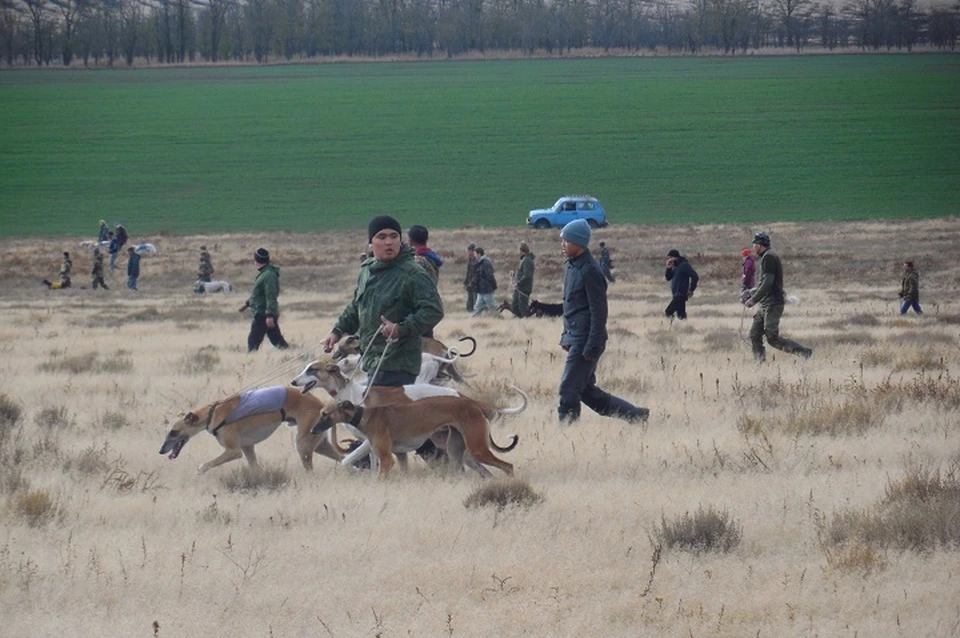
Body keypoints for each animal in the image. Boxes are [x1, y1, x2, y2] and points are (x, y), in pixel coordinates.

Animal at [154, 384, 342, 476]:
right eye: (167, 431)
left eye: (174, 432)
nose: (161, 451)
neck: (212, 413)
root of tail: (322, 405)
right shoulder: (247, 447)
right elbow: (255, 467)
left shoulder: (234, 451)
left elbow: (205, 465)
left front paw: (199, 471)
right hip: (319, 445)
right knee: (342, 458)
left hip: (302, 444)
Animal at [316, 398, 520, 478]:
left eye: (326, 414)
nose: (312, 430)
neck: (366, 416)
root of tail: (474, 403)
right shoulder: (399, 456)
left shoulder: (386, 459)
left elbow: (380, 476)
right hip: (456, 451)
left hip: (477, 449)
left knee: (508, 466)